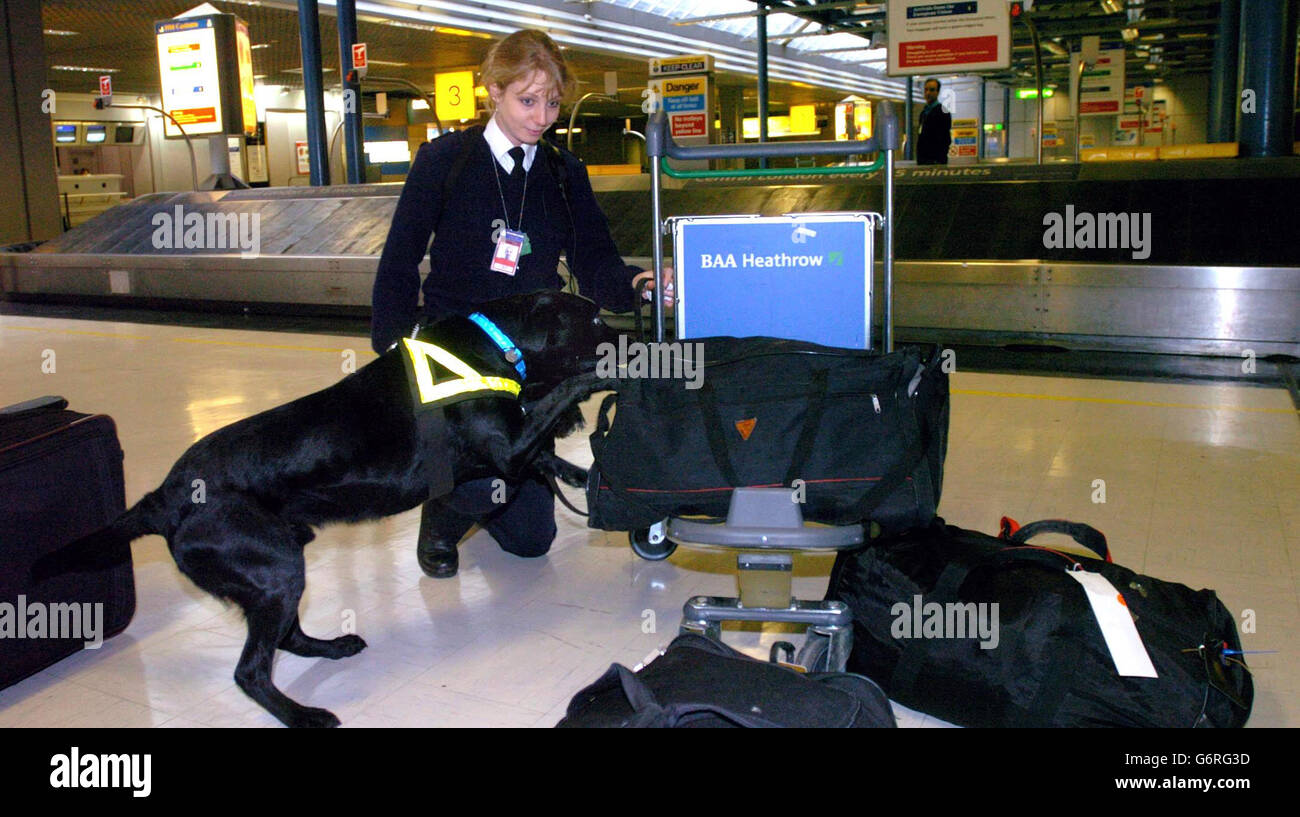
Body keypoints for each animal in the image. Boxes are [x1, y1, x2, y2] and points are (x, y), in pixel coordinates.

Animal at [32, 290, 616, 723]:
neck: (499, 344)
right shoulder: (505, 448)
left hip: (279, 566)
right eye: (592, 317)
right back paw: (305, 716)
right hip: (275, 569)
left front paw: (577, 471)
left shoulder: (505, 449)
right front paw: (605, 376)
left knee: (287, 636)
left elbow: (542, 443)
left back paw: (335, 648)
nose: (628, 335)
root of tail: (164, 497)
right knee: (250, 670)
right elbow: (555, 401)